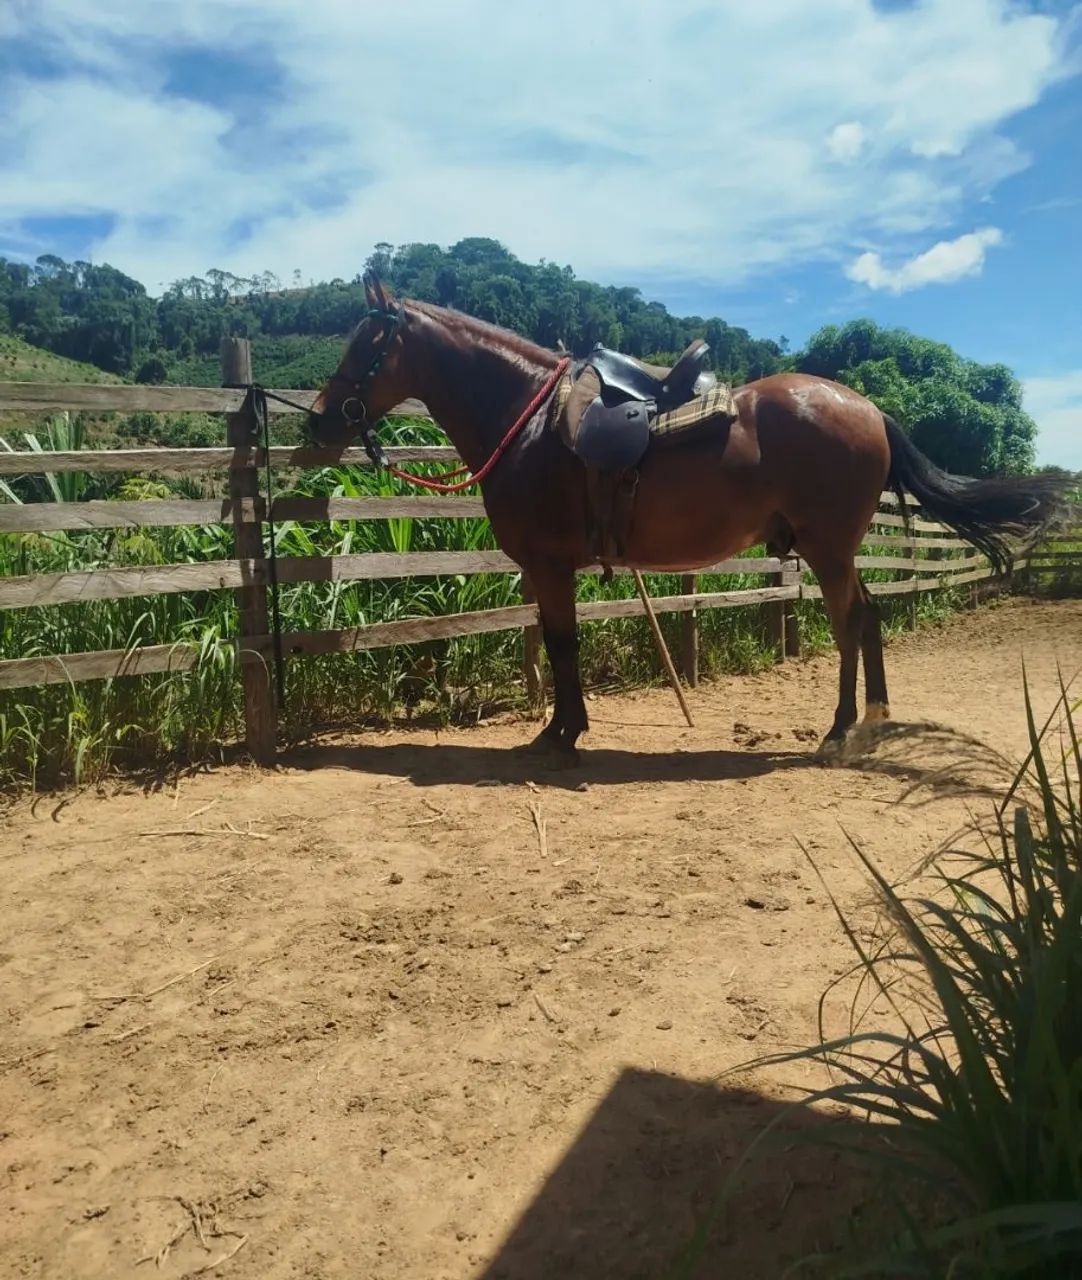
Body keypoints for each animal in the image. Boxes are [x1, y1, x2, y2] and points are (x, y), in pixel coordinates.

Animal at [308, 278, 1066, 763]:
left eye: (363, 348)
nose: (317, 422)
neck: (527, 420)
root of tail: (868, 409)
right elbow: (560, 646)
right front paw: (564, 730)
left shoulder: (550, 566)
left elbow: (561, 647)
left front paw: (560, 736)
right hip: (837, 549)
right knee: (871, 615)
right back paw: (873, 723)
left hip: (827, 549)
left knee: (850, 622)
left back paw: (837, 733)